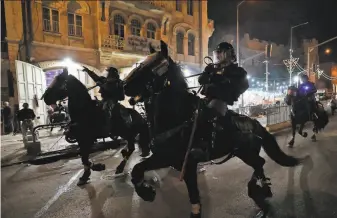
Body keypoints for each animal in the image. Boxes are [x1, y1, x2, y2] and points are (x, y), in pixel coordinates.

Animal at [123, 41, 304, 218]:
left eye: (155, 65)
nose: (124, 85)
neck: (178, 117)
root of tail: (254, 123)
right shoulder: (164, 158)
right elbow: (137, 169)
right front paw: (146, 191)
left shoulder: (187, 164)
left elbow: (193, 193)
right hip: (244, 152)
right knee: (259, 164)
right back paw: (263, 190)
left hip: (245, 152)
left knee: (260, 163)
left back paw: (259, 191)